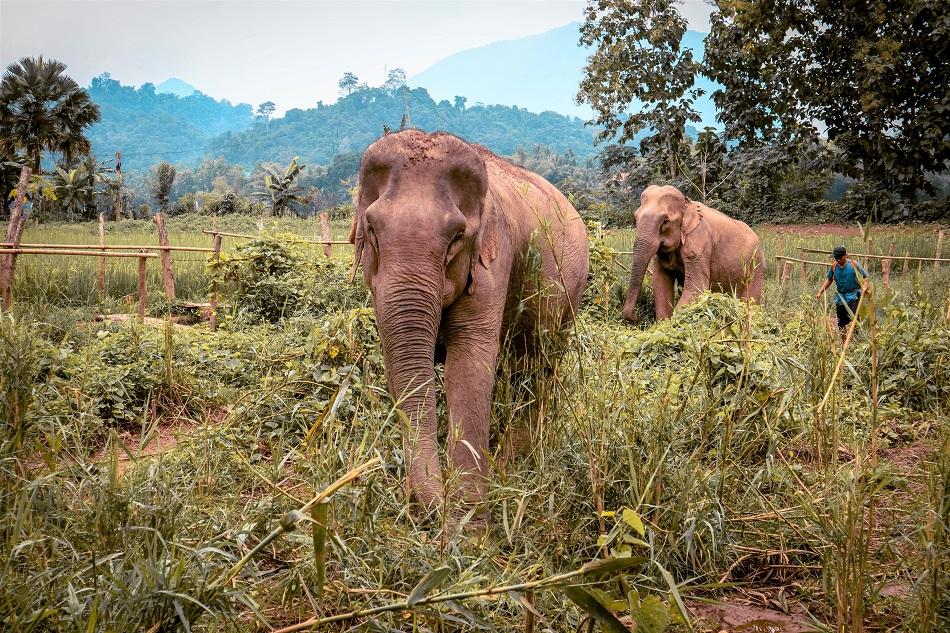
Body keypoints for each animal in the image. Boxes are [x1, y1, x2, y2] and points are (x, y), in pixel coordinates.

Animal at [349, 129, 589, 520]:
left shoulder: (493, 260)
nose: (424, 503)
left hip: (571, 290)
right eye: (371, 228)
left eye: (457, 238)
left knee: (539, 367)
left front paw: (467, 516)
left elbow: (468, 366)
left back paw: (513, 462)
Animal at [621, 185, 764, 322]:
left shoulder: (699, 239)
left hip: (757, 265)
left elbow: (697, 287)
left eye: (665, 221)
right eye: (635, 216)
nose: (636, 316)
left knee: (750, 300)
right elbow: (660, 282)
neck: (687, 204)